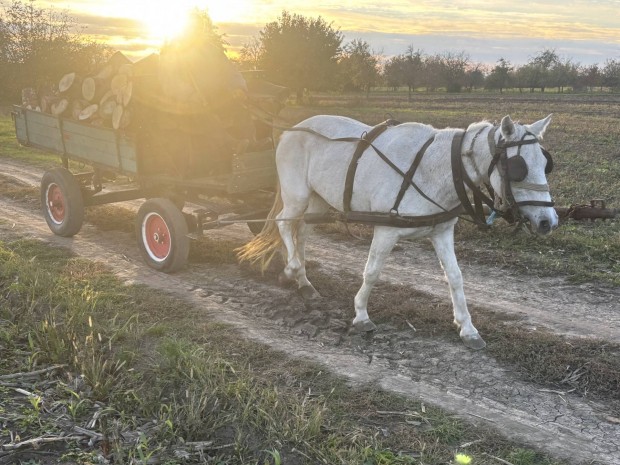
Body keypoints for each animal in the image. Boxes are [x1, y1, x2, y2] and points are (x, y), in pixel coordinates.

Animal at [237, 115, 556, 348]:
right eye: (518, 167)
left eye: (546, 164)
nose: (548, 222)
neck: (432, 170)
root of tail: (292, 129)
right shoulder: (386, 230)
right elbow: (372, 272)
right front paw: (361, 314)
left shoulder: (441, 232)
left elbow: (455, 277)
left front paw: (467, 327)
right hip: (296, 194)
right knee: (283, 223)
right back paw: (292, 268)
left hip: (317, 201)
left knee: (300, 231)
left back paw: (302, 280)